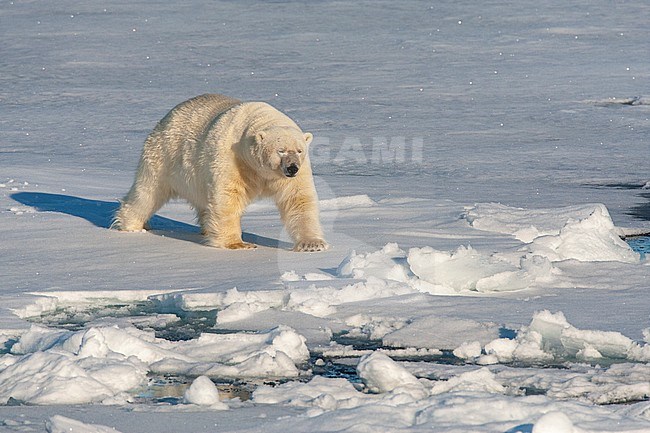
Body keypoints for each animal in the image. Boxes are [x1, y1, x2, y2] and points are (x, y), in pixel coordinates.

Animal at [112, 93, 330, 251]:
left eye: (299, 150)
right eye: (281, 150)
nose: (292, 168)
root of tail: (168, 115)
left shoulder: (294, 173)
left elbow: (298, 199)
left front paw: (313, 244)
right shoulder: (233, 159)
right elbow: (227, 197)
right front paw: (238, 243)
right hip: (164, 155)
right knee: (148, 192)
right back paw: (132, 225)